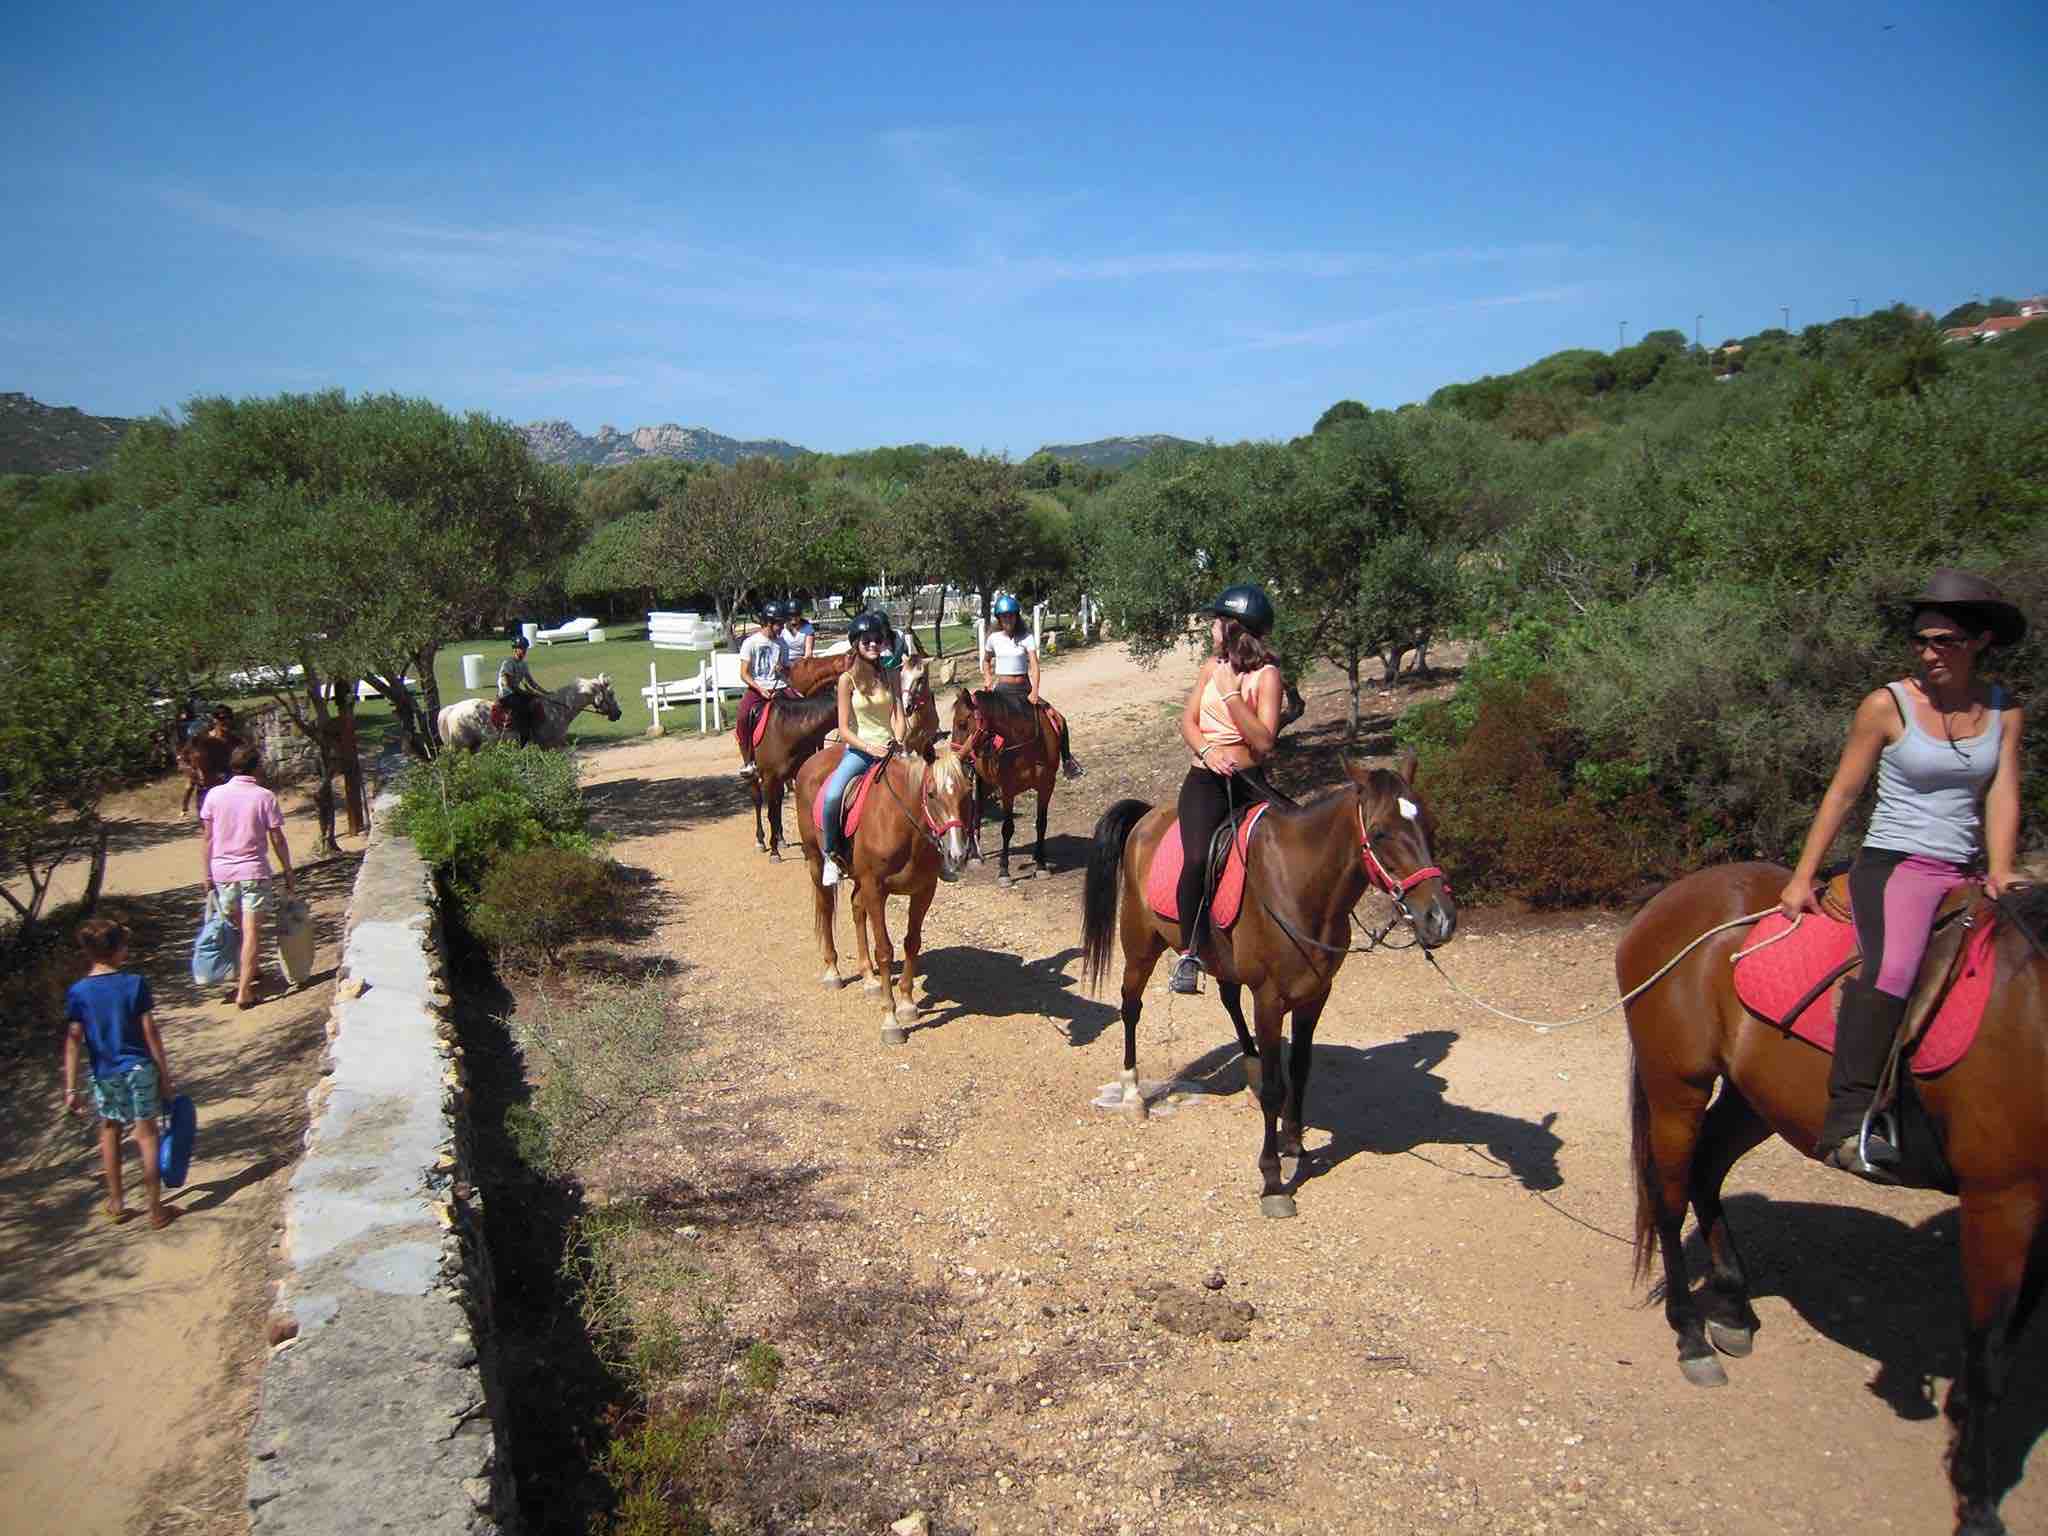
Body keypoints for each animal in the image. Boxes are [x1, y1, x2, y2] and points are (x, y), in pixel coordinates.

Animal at [436, 675, 622, 752]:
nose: (618, 714)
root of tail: (451, 709)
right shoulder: (550, 745)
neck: (557, 709)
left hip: (472, 747)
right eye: (611, 694)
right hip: (459, 748)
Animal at [792, 741, 975, 1045]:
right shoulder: (876, 889)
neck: (904, 825)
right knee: (826, 908)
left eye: (967, 793)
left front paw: (907, 1004)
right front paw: (891, 1021)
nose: (957, 854)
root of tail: (812, 762)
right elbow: (885, 951)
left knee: (856, 909)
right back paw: (833, 972)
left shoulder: (924, 890)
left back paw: (869, 979)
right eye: (931, 794)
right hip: (816, 862)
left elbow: (912, 943)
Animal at [951, 688, 1067, 884]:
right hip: (980, 781)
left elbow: (1041, 823)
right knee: (975, 812)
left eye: (962, 723)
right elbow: (1007, 828)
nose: (956, 754)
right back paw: (973, 856)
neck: (1028, 742)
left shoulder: (1047, 785)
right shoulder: (1007, 790)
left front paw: (1041, 865)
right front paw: (1004, 872)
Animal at [1080, 755, 1457, 1217]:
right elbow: (1278, 1089)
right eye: (1382, 832)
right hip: (1140, 948)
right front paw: (1273, 1180)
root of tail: (1148, 818)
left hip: (1221, 960)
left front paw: (1294, 1143)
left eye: (1431, 826)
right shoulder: (1270, 1000)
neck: (1300, 884)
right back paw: (1134, 1094)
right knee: (1131, 1008)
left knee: (1228, 999)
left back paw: (1252, 1067)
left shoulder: (1315, 995)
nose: (1440, 919)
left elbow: (1300, 1069)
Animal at [1618, 863, 2048, 1536]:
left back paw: (1733, 1309)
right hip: (1676, 1089)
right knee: (1668, 1197)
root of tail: (1670, 899)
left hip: (1757, 1095)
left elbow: (2003, 1348)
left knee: (1706, 1172)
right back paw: (1691, 1336)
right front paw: (1976, 1501)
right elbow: (1986, 1356)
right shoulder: (2003, 1200)